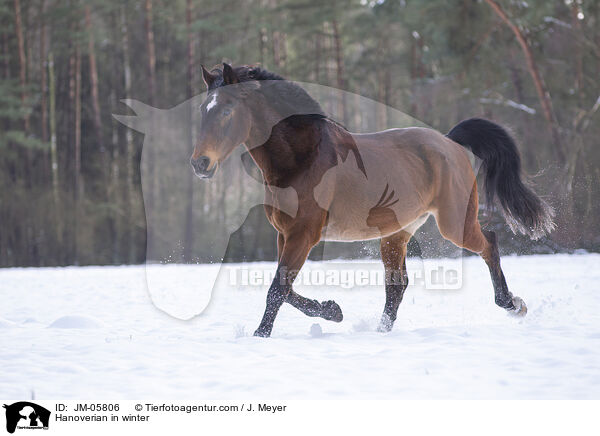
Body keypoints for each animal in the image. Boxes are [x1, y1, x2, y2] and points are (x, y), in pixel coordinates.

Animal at [192, 63, 552, 338]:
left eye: (227, 110)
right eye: (202, 112)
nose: (200, 164)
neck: (302, 158)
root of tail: (449, 142)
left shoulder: (303, 234)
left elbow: (278, 288)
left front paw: (261, 334)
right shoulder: (285, 235)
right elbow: (285, 288)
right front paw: (332, 310)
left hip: (454, 223)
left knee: (489, 243)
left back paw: (513, 305)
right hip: (396, 233)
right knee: (397, 285)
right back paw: (380, 332)